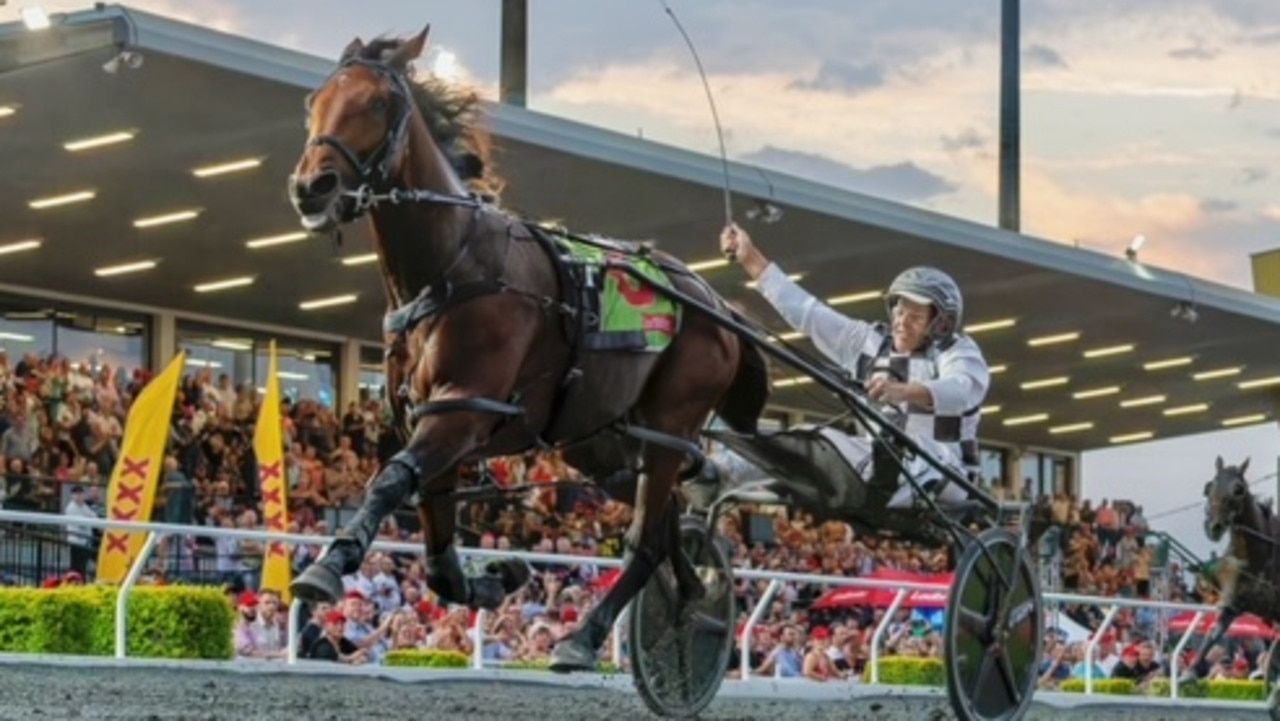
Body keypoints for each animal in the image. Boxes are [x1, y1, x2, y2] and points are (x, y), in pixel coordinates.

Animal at [285, 26, 762, 671]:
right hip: (603, 444)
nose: (313, 187)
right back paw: (690, 597)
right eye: (315, 101)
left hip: (669, 427)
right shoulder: (433, 417)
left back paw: (587, 636)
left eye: (378, 103)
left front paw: (329, 566)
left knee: (645, 540)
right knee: (666, 528)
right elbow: (437, 554)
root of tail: (718, 304)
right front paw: (497, 576)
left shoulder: (462, 410)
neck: (450, 268)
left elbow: (389, 480)